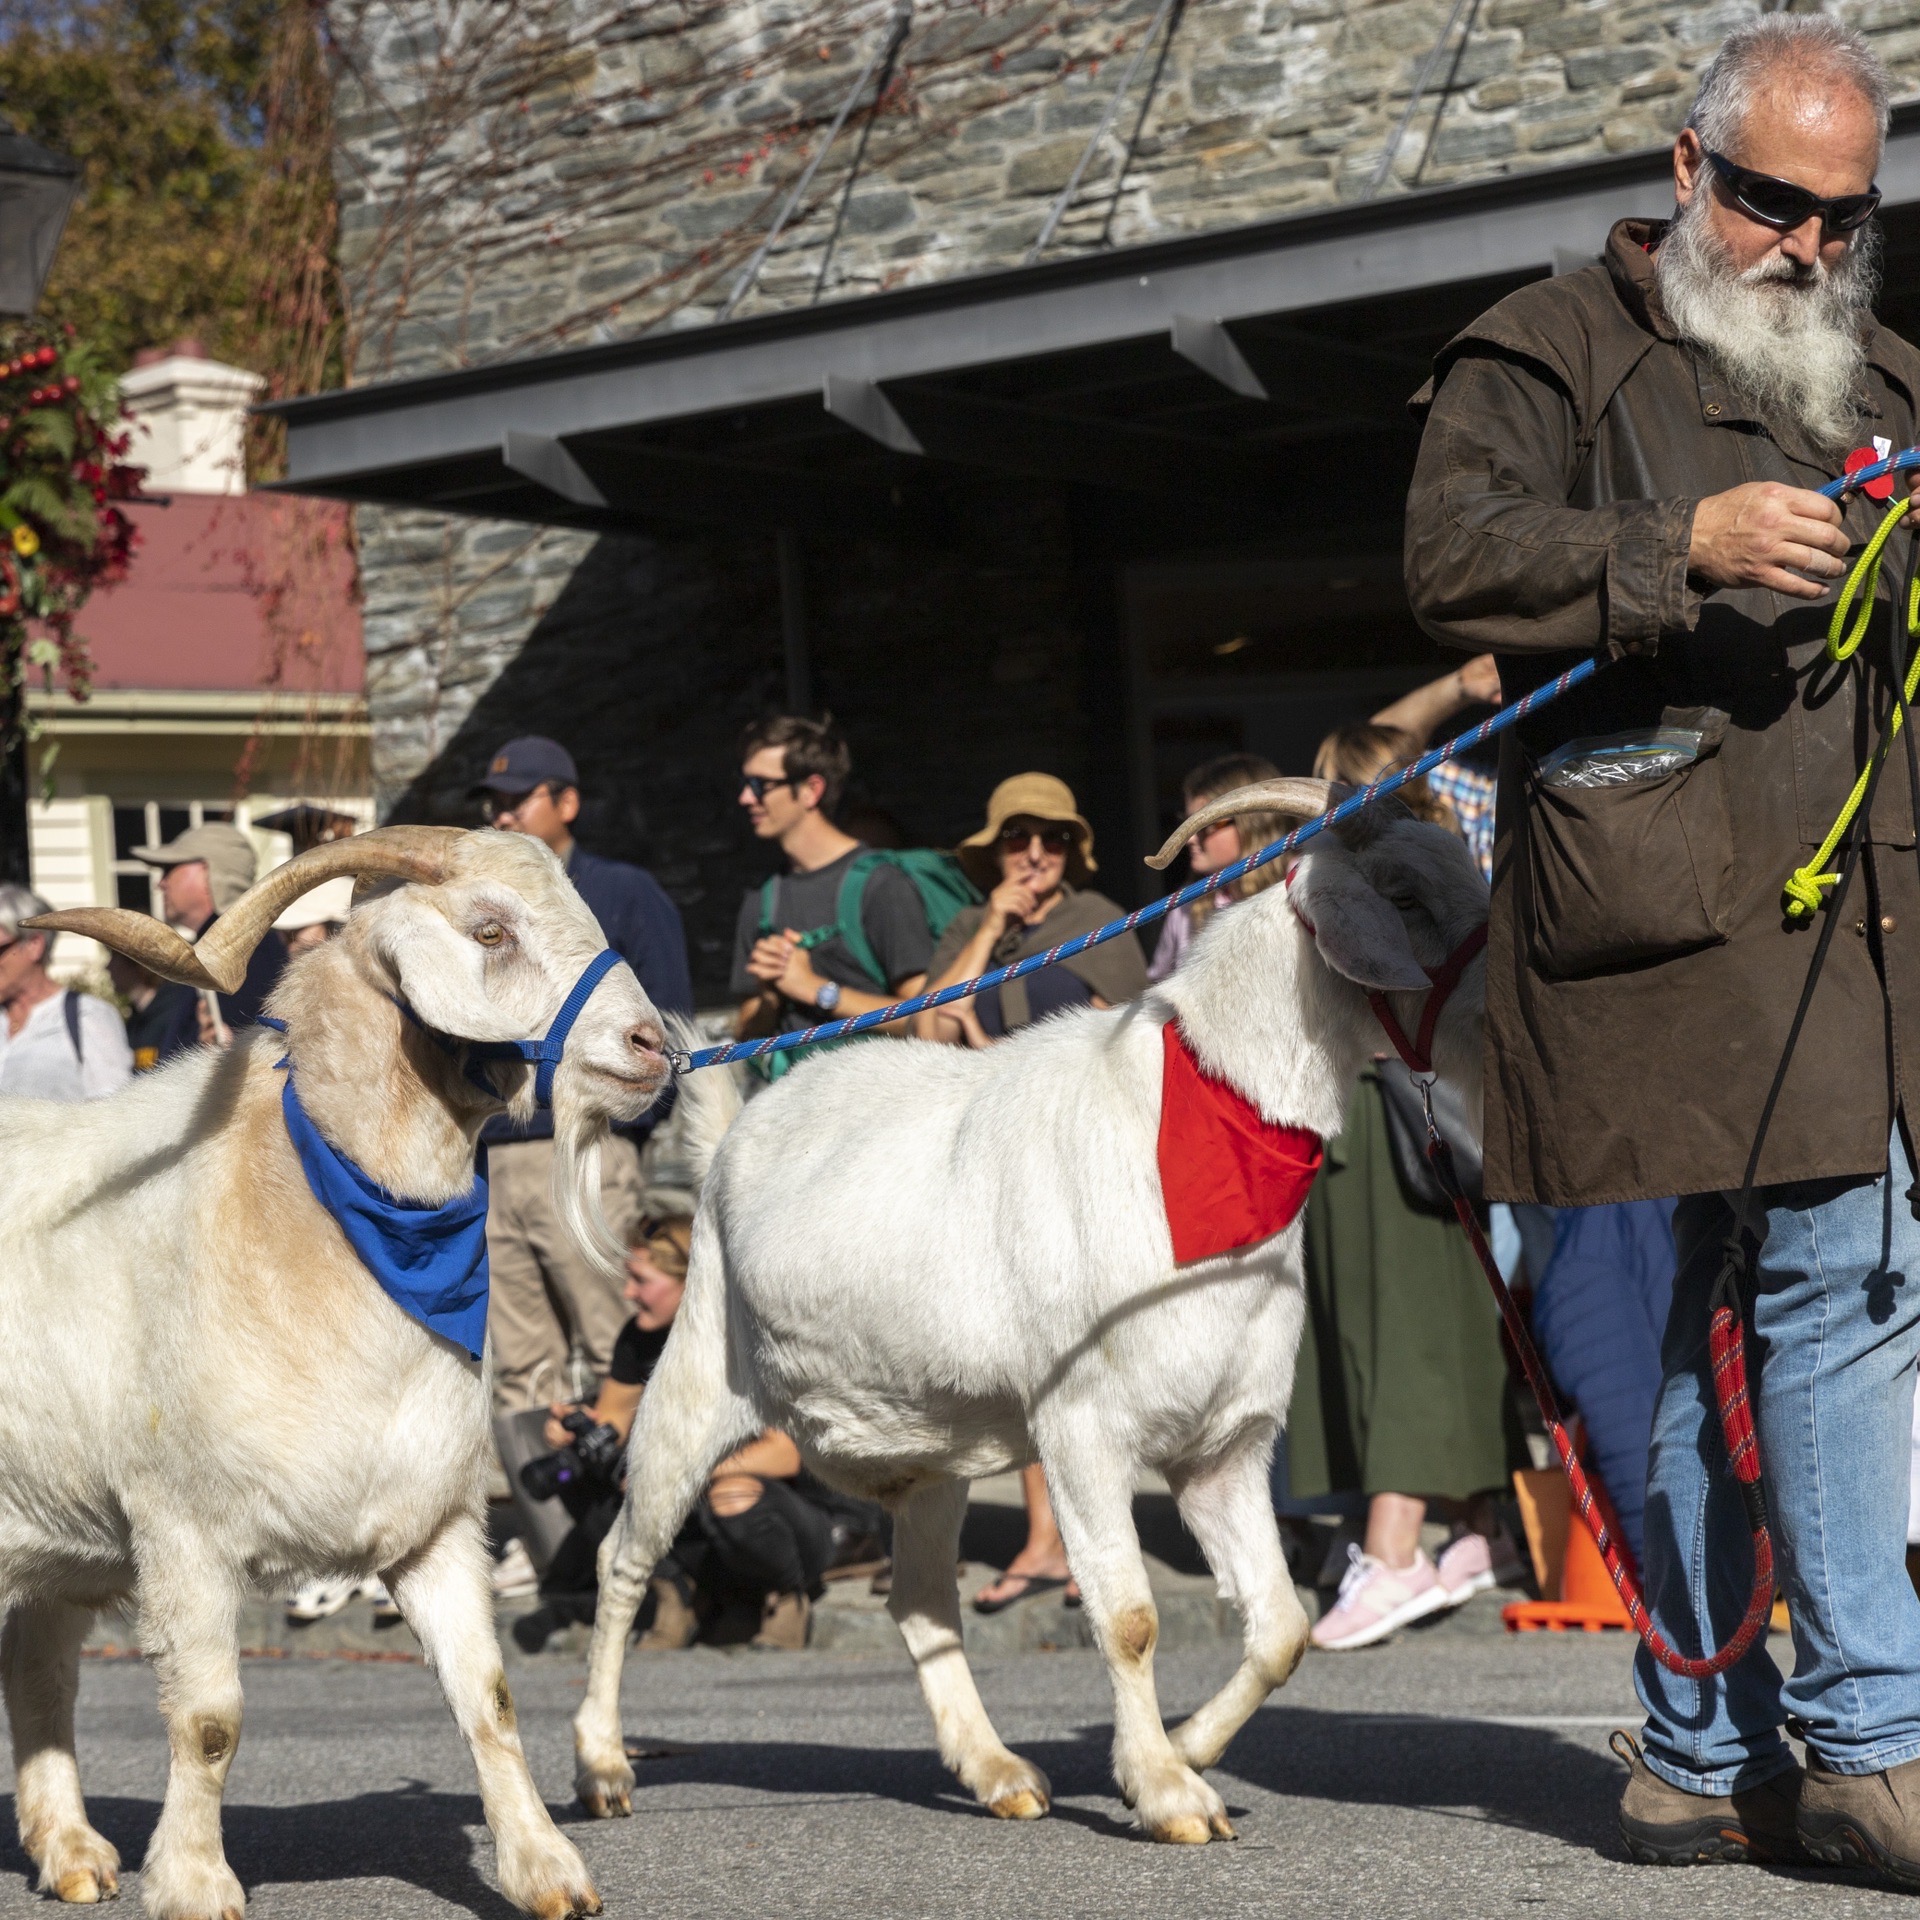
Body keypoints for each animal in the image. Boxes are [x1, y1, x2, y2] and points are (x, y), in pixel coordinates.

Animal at [5, 833, 668, 1920]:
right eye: (491, 930)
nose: (656, 1046)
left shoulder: (436, 1526)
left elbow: (489, 1699)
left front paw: (547, 1871)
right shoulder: (182, 1533)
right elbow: (209, 1721)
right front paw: (195, 1883)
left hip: (55, 1540)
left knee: (40, 1673)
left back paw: (71, 1854)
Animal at [568, 775, 1482, 1843]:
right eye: (1405, 897)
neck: (1192, 1127)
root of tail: (723, 1137)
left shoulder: (1226, 1445)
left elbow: (1284, 1625)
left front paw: (1191, 1749)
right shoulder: (1083, 1427)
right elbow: (1129, 1618)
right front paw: (1165, 1792)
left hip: (924, 1451)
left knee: (922, 1603)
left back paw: (1000, 1771)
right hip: (693, 1376)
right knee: (623, 1561)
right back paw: (602, 1767)